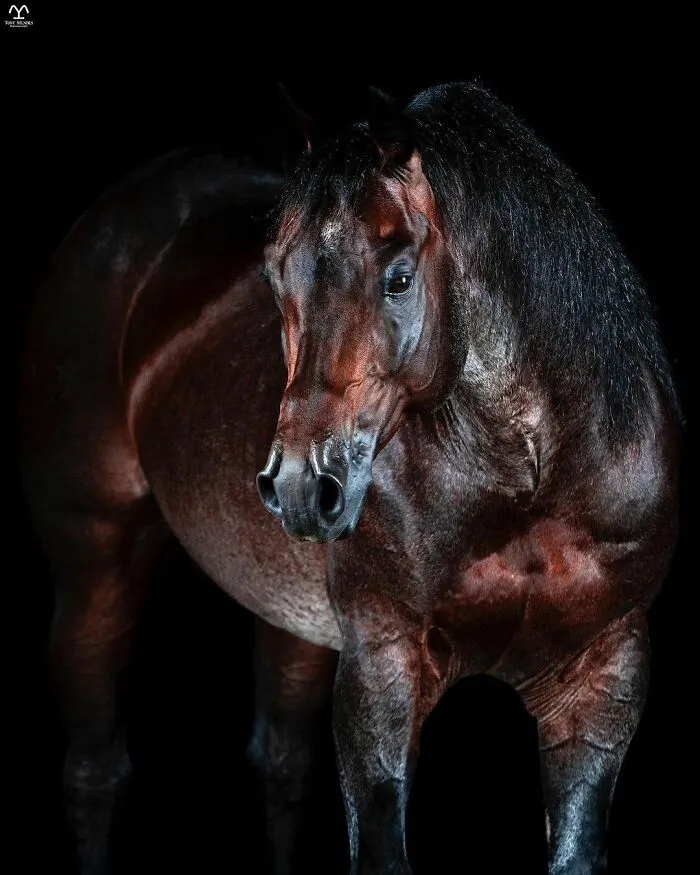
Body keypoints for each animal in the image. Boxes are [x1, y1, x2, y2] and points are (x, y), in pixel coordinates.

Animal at [19, 82, 679, 875]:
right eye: (274, 275)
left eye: (398, 276)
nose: (302, 484)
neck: (527, 485)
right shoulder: (380, 669)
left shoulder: (601, 681)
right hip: (95, 568)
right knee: (94, 769)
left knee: (280, 763)